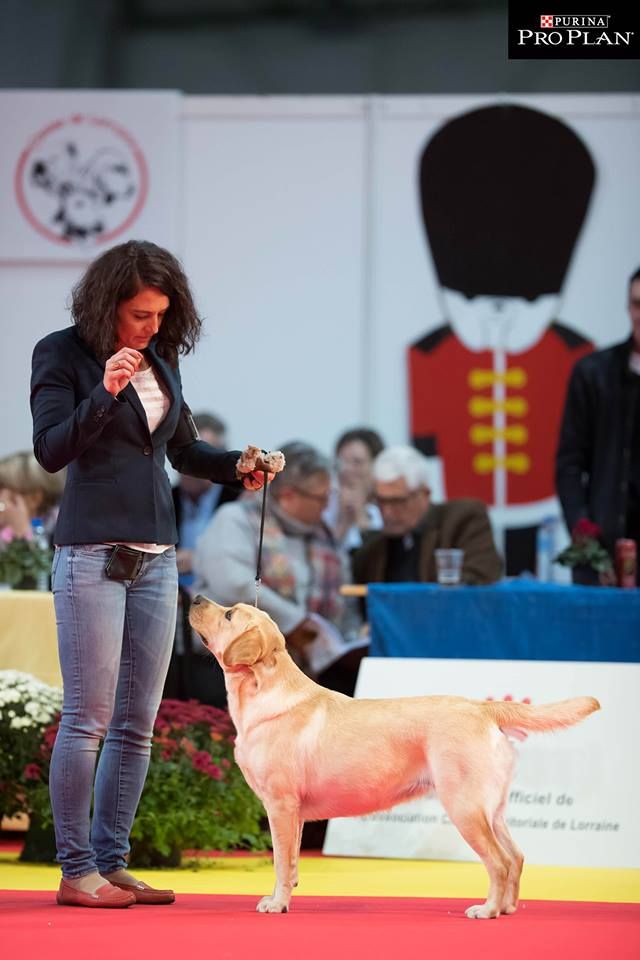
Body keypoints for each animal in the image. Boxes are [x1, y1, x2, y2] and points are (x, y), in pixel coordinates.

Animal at [189, 596, 600, 919]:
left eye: (229, 614)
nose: (194, 597)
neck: (263, 689)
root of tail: (482, 708)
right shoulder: (296, 813)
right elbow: (290, 863)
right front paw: (286, 896)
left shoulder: (281, 805)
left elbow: (279, 861)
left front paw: (276, 904)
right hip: (492, 808)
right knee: (516, 856)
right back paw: (508, 908)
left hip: (464, 806)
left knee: (498, 861)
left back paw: (487, 910)